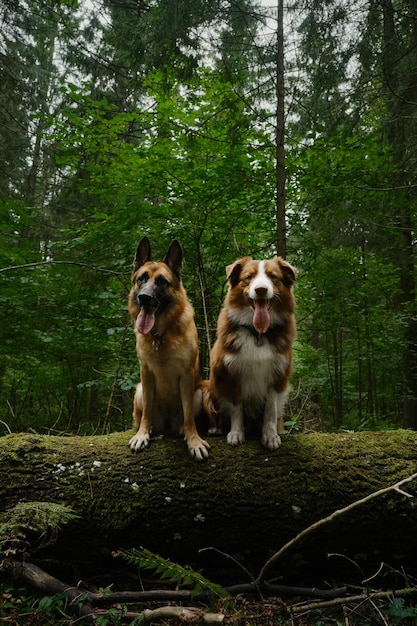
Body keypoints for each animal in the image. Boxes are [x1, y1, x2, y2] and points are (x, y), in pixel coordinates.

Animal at [127, 234, 210, 458]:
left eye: (162, 282)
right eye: (141, 278)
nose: (144, 298)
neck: (161, 335)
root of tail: (167, 424)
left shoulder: (186, 375)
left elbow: (189, 416)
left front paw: (193, 440)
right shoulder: (146, 375)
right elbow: (146, 413)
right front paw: (142, 435)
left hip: (199, 393)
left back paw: (182, 430)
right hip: (139, 390)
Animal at [202, 254, 296, 448]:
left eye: (273, 276)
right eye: (248, 277)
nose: (261, 290)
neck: (257, 333)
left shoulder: (278, 375)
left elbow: (270, 410)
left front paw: (270, 436)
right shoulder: (231, 373)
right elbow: (236, 409)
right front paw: (236, 433)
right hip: (207, 388)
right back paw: (216, 429)